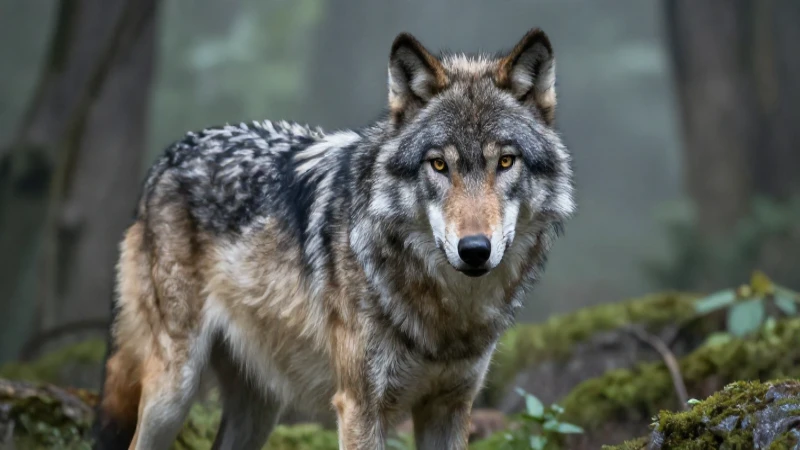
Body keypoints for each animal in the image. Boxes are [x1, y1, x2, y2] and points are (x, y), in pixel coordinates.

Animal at [92, 28, 575, 450]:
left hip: (258, 411)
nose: (474, 250)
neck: (445, 314)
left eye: (506, 161)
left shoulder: (450, 408)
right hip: (173, 391)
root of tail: (167, 158)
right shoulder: (359, 406)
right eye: (439, 165)